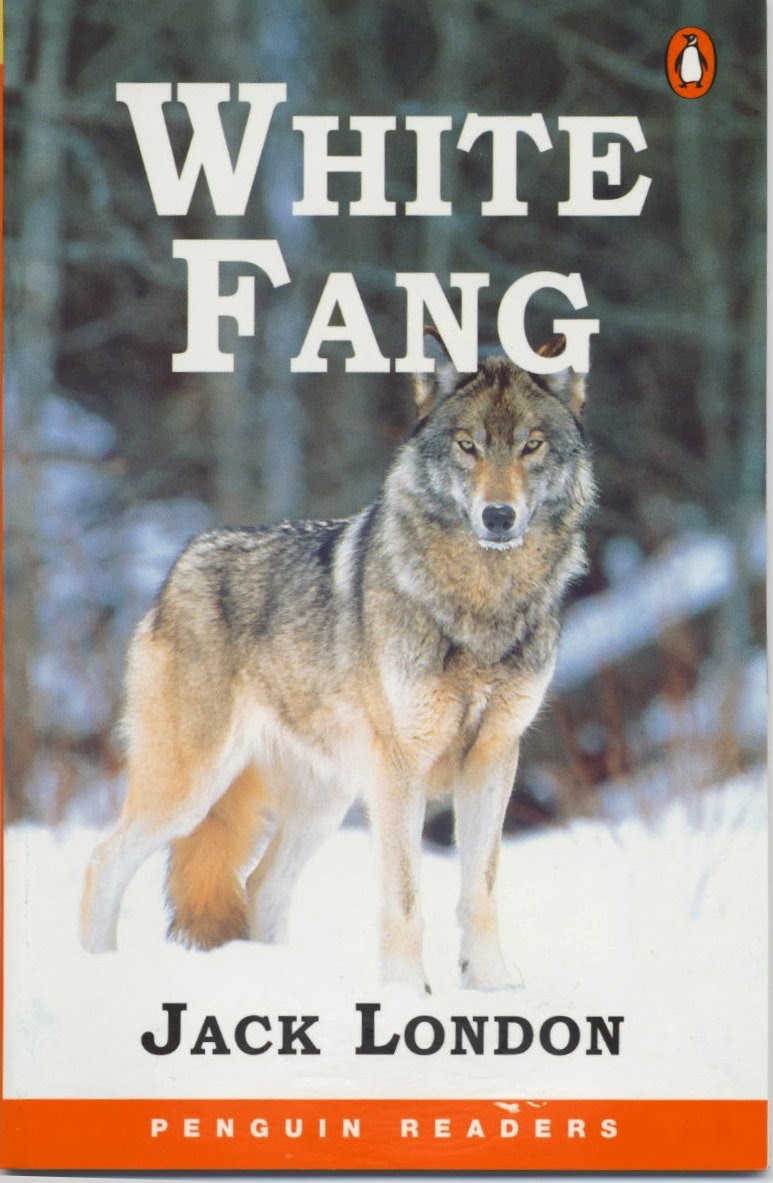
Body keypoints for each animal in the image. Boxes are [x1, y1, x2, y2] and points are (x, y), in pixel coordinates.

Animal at [81, 333, 594, 992]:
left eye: (531, 445)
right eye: (467, 445)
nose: (498, 516)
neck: (481, 603)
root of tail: (179, 566)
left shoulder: (494, 758)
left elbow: (479, 891)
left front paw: (492, 987)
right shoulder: (401, 770)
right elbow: (405, 899)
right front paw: (406, 993)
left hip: (325, 803)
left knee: (259, 885)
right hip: (190, 789)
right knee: (102, 863)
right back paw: (97, 969)